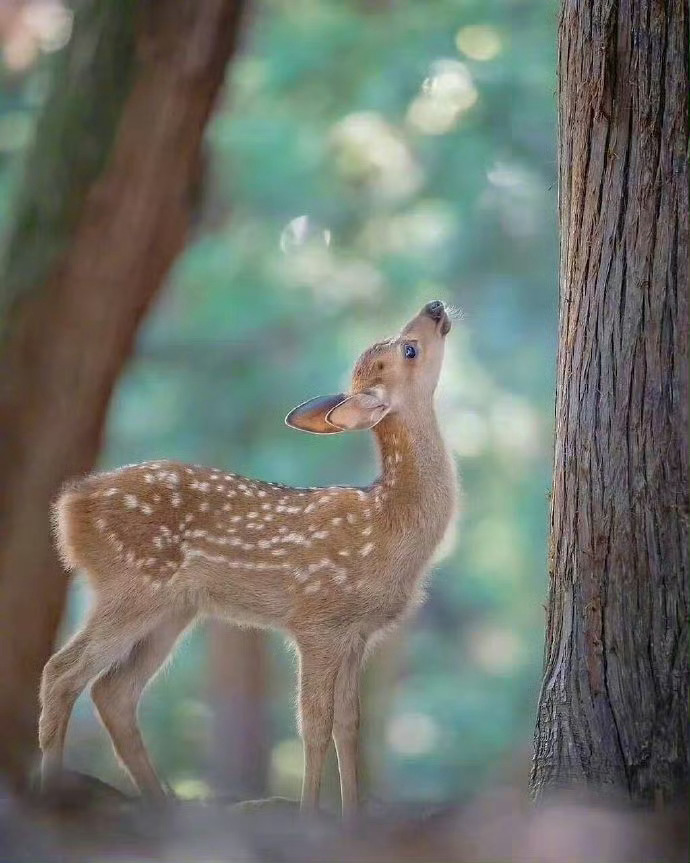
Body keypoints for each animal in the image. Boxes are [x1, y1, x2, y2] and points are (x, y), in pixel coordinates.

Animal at [39, 300, 457, 818]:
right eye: (409, 350)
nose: (434, 307)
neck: (389, 525)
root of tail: (70, 506)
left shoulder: (356, 633)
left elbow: (348, 724)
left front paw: (352, 815)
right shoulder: (317, 620)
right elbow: (314, 724)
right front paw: (309, 814)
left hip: (174, 608)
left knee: (114, 692)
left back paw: (163, 804)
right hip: (131, 584)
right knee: (62, 672)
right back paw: (52, 792)